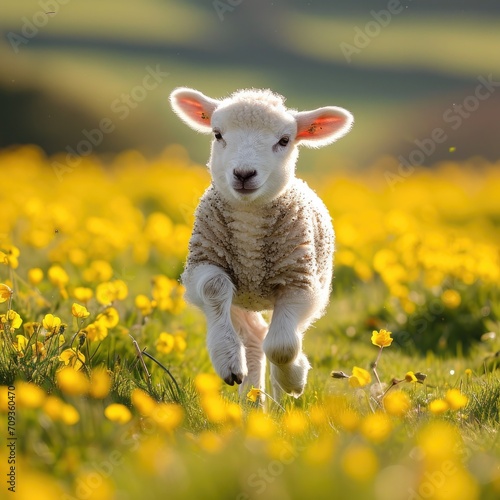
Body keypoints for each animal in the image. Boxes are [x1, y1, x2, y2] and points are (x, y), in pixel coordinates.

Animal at [170, 87, 354, 398]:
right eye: (217, 134)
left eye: (284, 140)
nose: (244, 174)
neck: (249, 219)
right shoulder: (202, 264)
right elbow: (213, 286)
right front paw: (228, 361)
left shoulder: (300, 282)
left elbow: (282, 347)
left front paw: (294, 378)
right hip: (242, 299)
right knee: (256, 338)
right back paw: (251, 396)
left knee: (278, 337)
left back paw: (281, 394)